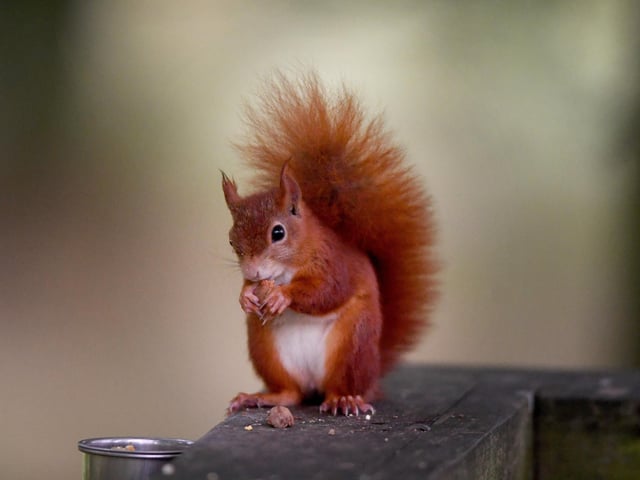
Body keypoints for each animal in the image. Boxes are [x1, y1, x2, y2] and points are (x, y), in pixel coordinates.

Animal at [222, 71, 437, 416]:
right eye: (231, 241)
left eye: (278, 233)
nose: (254, 273)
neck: (288, 267)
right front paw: (245, 296)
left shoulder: (334, 261)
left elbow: (328, 290)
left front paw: (282, 296)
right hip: (265, 347)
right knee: (291, 393)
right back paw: (262, 397)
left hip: (352, 343)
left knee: (340, 385)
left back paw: (343, 399)